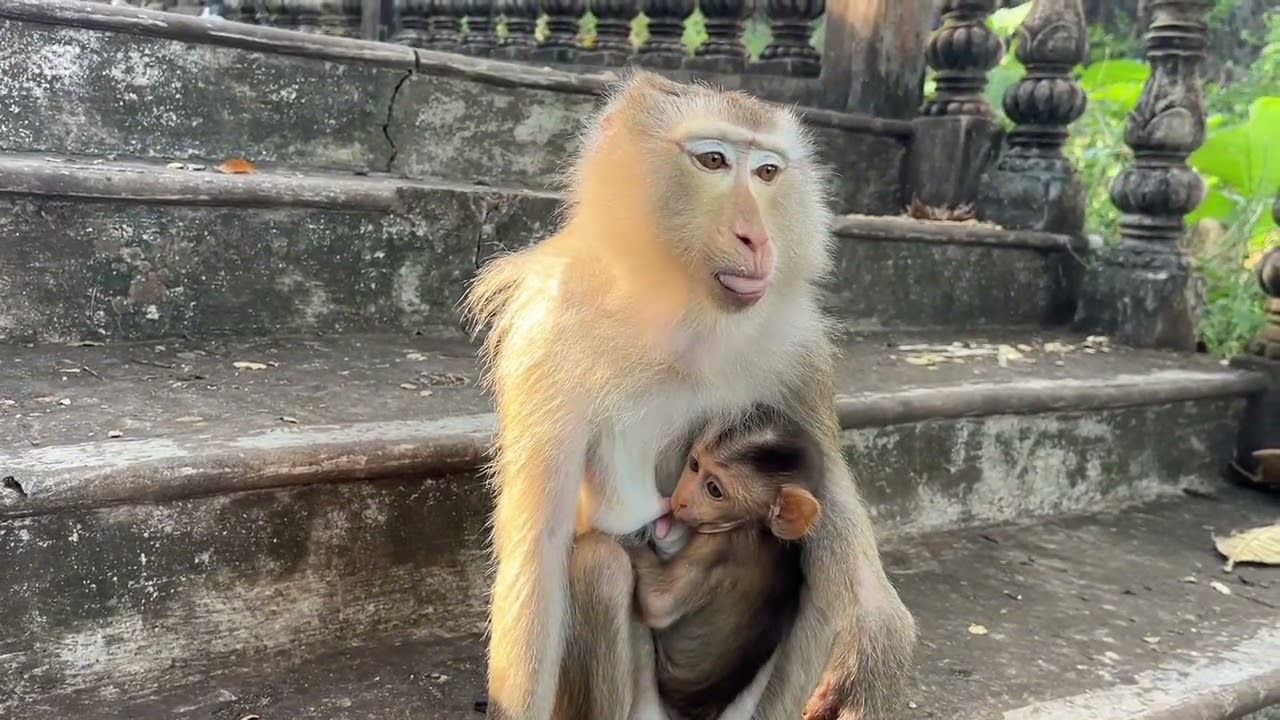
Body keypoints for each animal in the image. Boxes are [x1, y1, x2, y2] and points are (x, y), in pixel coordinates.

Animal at [629, 405, 823, 720]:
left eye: (714, 490)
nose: (680, 501)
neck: (755, 527)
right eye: (694, 464)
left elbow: (659, 604)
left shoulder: (718, 547)